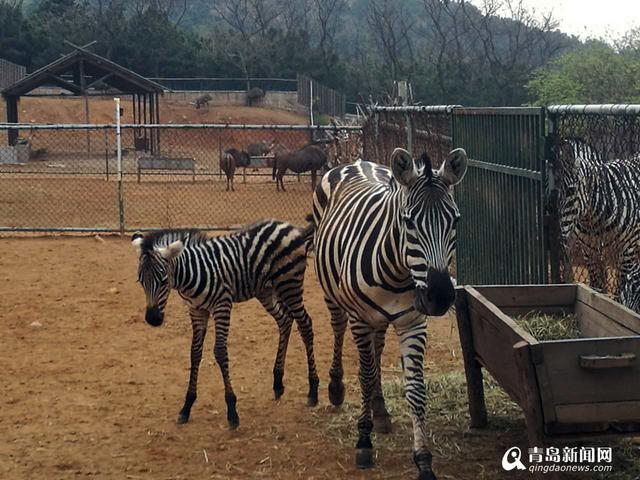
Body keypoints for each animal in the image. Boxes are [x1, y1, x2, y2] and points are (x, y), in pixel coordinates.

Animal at [131, 219, 320, 430]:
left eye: (164, 281)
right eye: (140, 281)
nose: (153, 319)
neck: (192, 273)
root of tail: (288, 226)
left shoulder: (222, 305)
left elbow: (220, 352)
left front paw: (232, 410)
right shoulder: (197, 310)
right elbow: (194, 353)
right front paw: (187, 406)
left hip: (290, 285)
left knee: (305, 324)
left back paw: (313, 390)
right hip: (265, 290)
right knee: (285, 321)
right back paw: (278, 383)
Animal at [312, 147, 468, 480]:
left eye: (455, 220)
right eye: (408, 221)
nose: (440, 298)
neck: (397, 272)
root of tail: (357, 161)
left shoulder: (413, 322)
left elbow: (416, 390)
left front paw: (423, 459)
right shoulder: (360, 320)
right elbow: (365, 375)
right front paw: (363, 440)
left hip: (381, 318)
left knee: (378, 347)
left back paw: (381, 412)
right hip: (334, 295)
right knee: (338, 328)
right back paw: (336, 388)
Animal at [556, 135, 640, 298]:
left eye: (570, 191)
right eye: (554, 192)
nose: (560, 238)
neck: (594, 220)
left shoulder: (626, 250)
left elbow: (620, 292)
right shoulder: (590, 252)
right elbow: (597, 287)